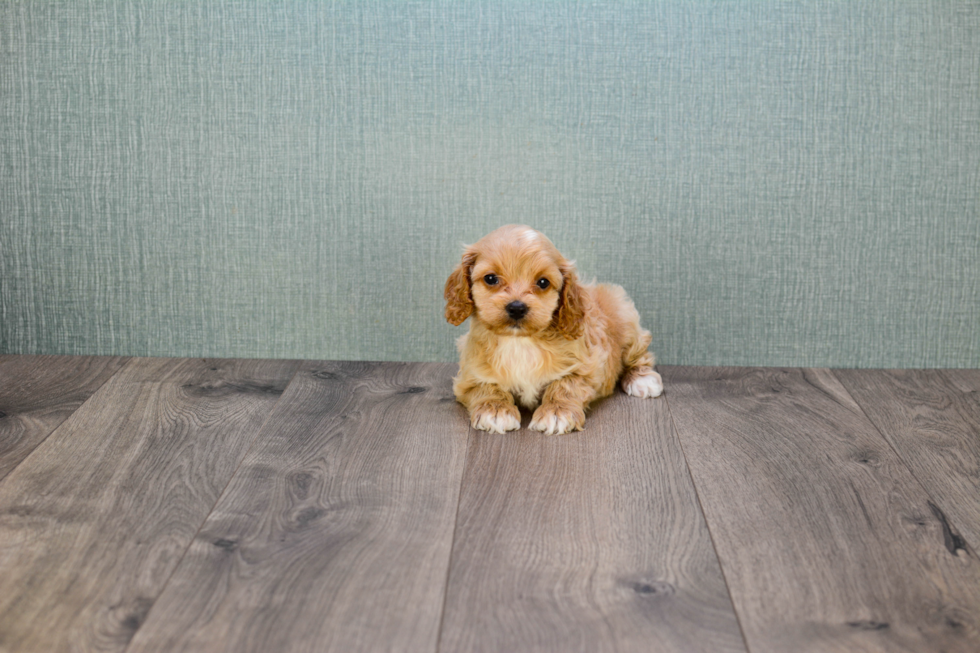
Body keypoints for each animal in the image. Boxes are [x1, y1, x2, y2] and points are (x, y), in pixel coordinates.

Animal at [446, 224, 664, 432]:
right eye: (491, 278)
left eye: (543, 282)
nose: (516, 308)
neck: (519, 341)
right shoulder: (469, 374)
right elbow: (486, 386)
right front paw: (495, 410)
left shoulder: (588, 368)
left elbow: (565, 384)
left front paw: (557, 412)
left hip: (626, 319)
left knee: (640, 354)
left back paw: (642, 379)